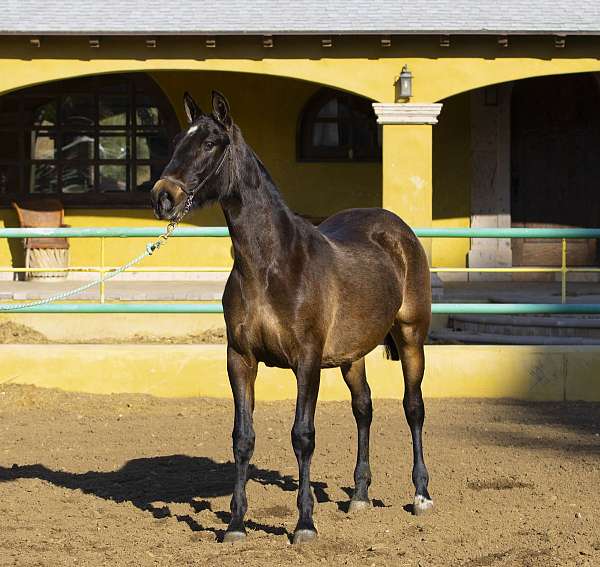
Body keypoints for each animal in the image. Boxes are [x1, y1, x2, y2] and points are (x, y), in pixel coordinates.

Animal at [150, 91, 432, 544]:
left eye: (210, 143)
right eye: (178, 140)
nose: (163, 197)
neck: (272, 265)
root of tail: (396, 229)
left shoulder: (307, 361)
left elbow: (303, 436)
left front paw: (304, 524)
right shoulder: (240, 359)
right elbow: (243, 438)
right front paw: (235, 525)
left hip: (410, 336)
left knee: (413, 406)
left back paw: (421, 495)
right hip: (352, 355)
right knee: (363, 408)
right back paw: (359, 496)